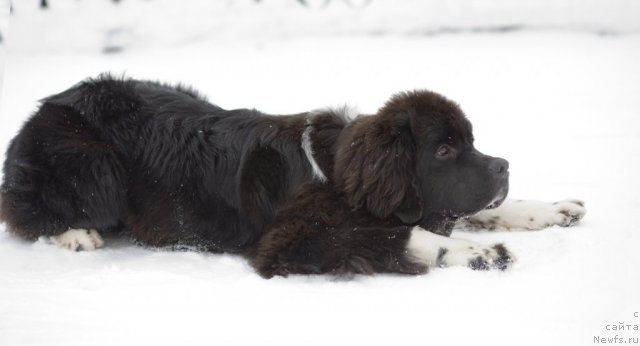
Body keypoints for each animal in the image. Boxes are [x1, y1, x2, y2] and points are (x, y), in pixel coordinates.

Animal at [0, 75, 584, 278]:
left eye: (472, 141)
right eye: (443, 150)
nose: (504, 166)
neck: (339, 176)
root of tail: (43, 107)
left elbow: (467, 212)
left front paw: (551, 209)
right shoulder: (288, 241)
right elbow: (398, 235)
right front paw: (480, 253)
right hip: (94, 164)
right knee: (27, 210)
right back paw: (77, 234)